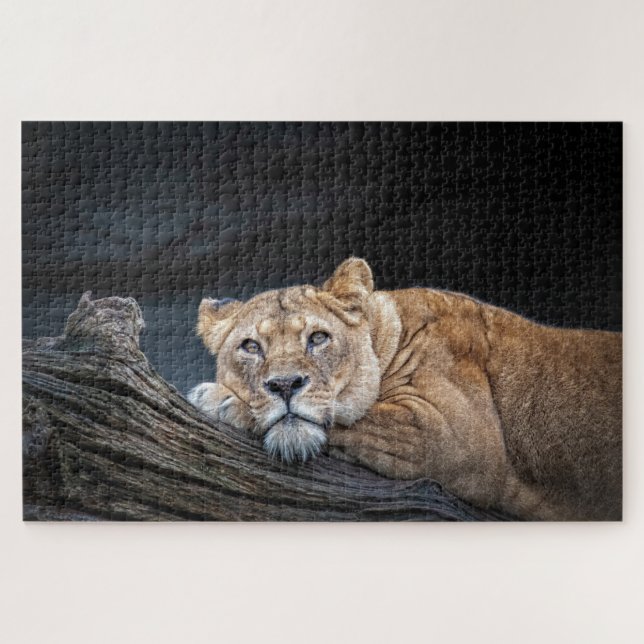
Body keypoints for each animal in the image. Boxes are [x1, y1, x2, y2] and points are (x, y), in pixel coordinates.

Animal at [188, 258, 622, 521]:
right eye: (250, 347)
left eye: (318, 338)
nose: (283, 384)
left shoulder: (454, 433)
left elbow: (354, 417)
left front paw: (220, 399)